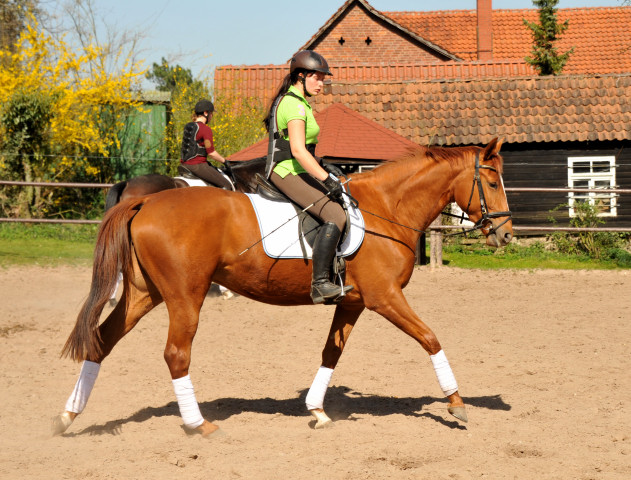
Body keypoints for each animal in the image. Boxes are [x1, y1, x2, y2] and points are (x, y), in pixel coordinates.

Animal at [51, 137, 512, 436]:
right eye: (491, 183)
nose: (506, 235)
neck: (387, 209)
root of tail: (146, 200)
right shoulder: (385, 298)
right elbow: (430, 338)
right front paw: (456, 404)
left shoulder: (353, 302)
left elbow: (331, 352)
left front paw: (317, 410)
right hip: (184, 296)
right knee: (176, 354)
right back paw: (198, 424)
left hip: (145, 294)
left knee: (102, 341)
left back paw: (68, 416)